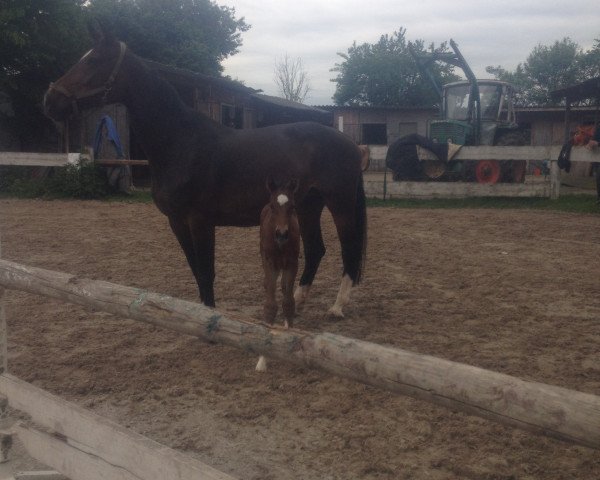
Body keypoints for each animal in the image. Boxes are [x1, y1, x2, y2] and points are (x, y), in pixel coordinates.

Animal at [43, 22, 366, 316]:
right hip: (309, 205)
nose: (50, 101)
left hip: (339, 203)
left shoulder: (200, 221)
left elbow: (207, 271)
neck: (181, 143)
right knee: (315, 250)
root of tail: (349, 144)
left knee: (349, 248)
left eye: (93, 60)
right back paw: (297, 302)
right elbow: (196, 270)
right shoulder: (177, 222)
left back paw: (337, 307)